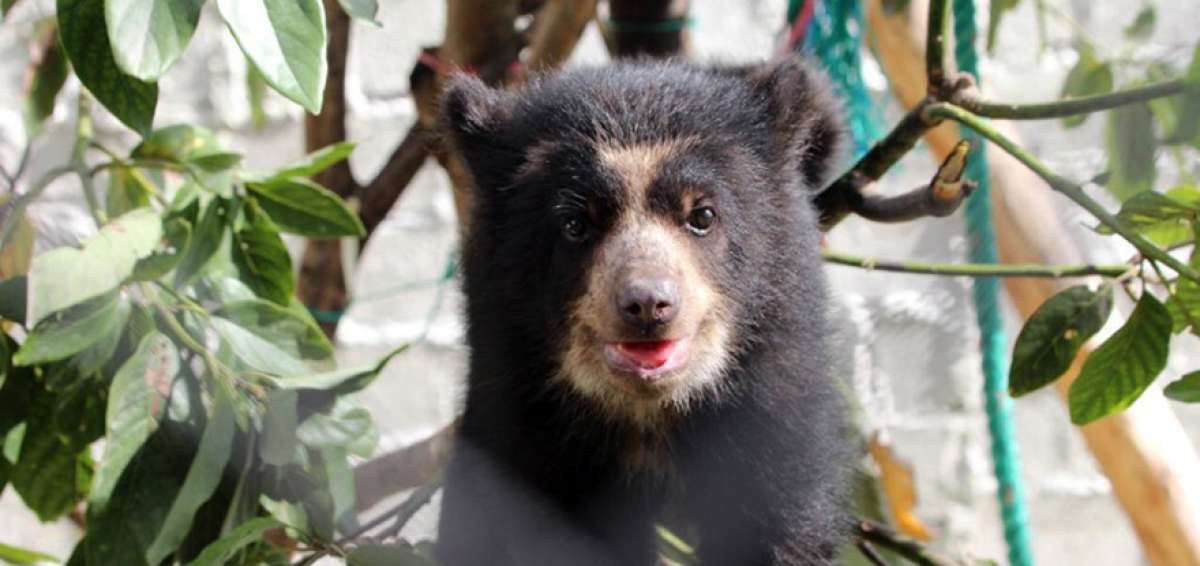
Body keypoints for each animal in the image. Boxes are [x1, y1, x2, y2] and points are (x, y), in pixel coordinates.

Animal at [434, 55, 851, 566]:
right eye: (575, 224)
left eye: (702, 216)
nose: (648, 304)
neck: (648, 415)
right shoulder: (521, 419)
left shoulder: (773, 413)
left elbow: (779, 519)